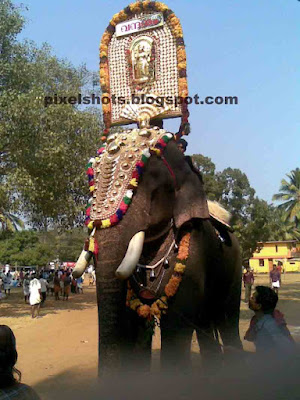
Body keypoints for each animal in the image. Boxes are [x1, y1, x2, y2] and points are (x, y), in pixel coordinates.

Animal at [72, 130, 241, 376]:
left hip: (236, 269)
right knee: (206, 325)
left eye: (151, 190)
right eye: (90, 186)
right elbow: (133, 322)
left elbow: (175, 333)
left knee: (228, 322)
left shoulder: (193, 257)